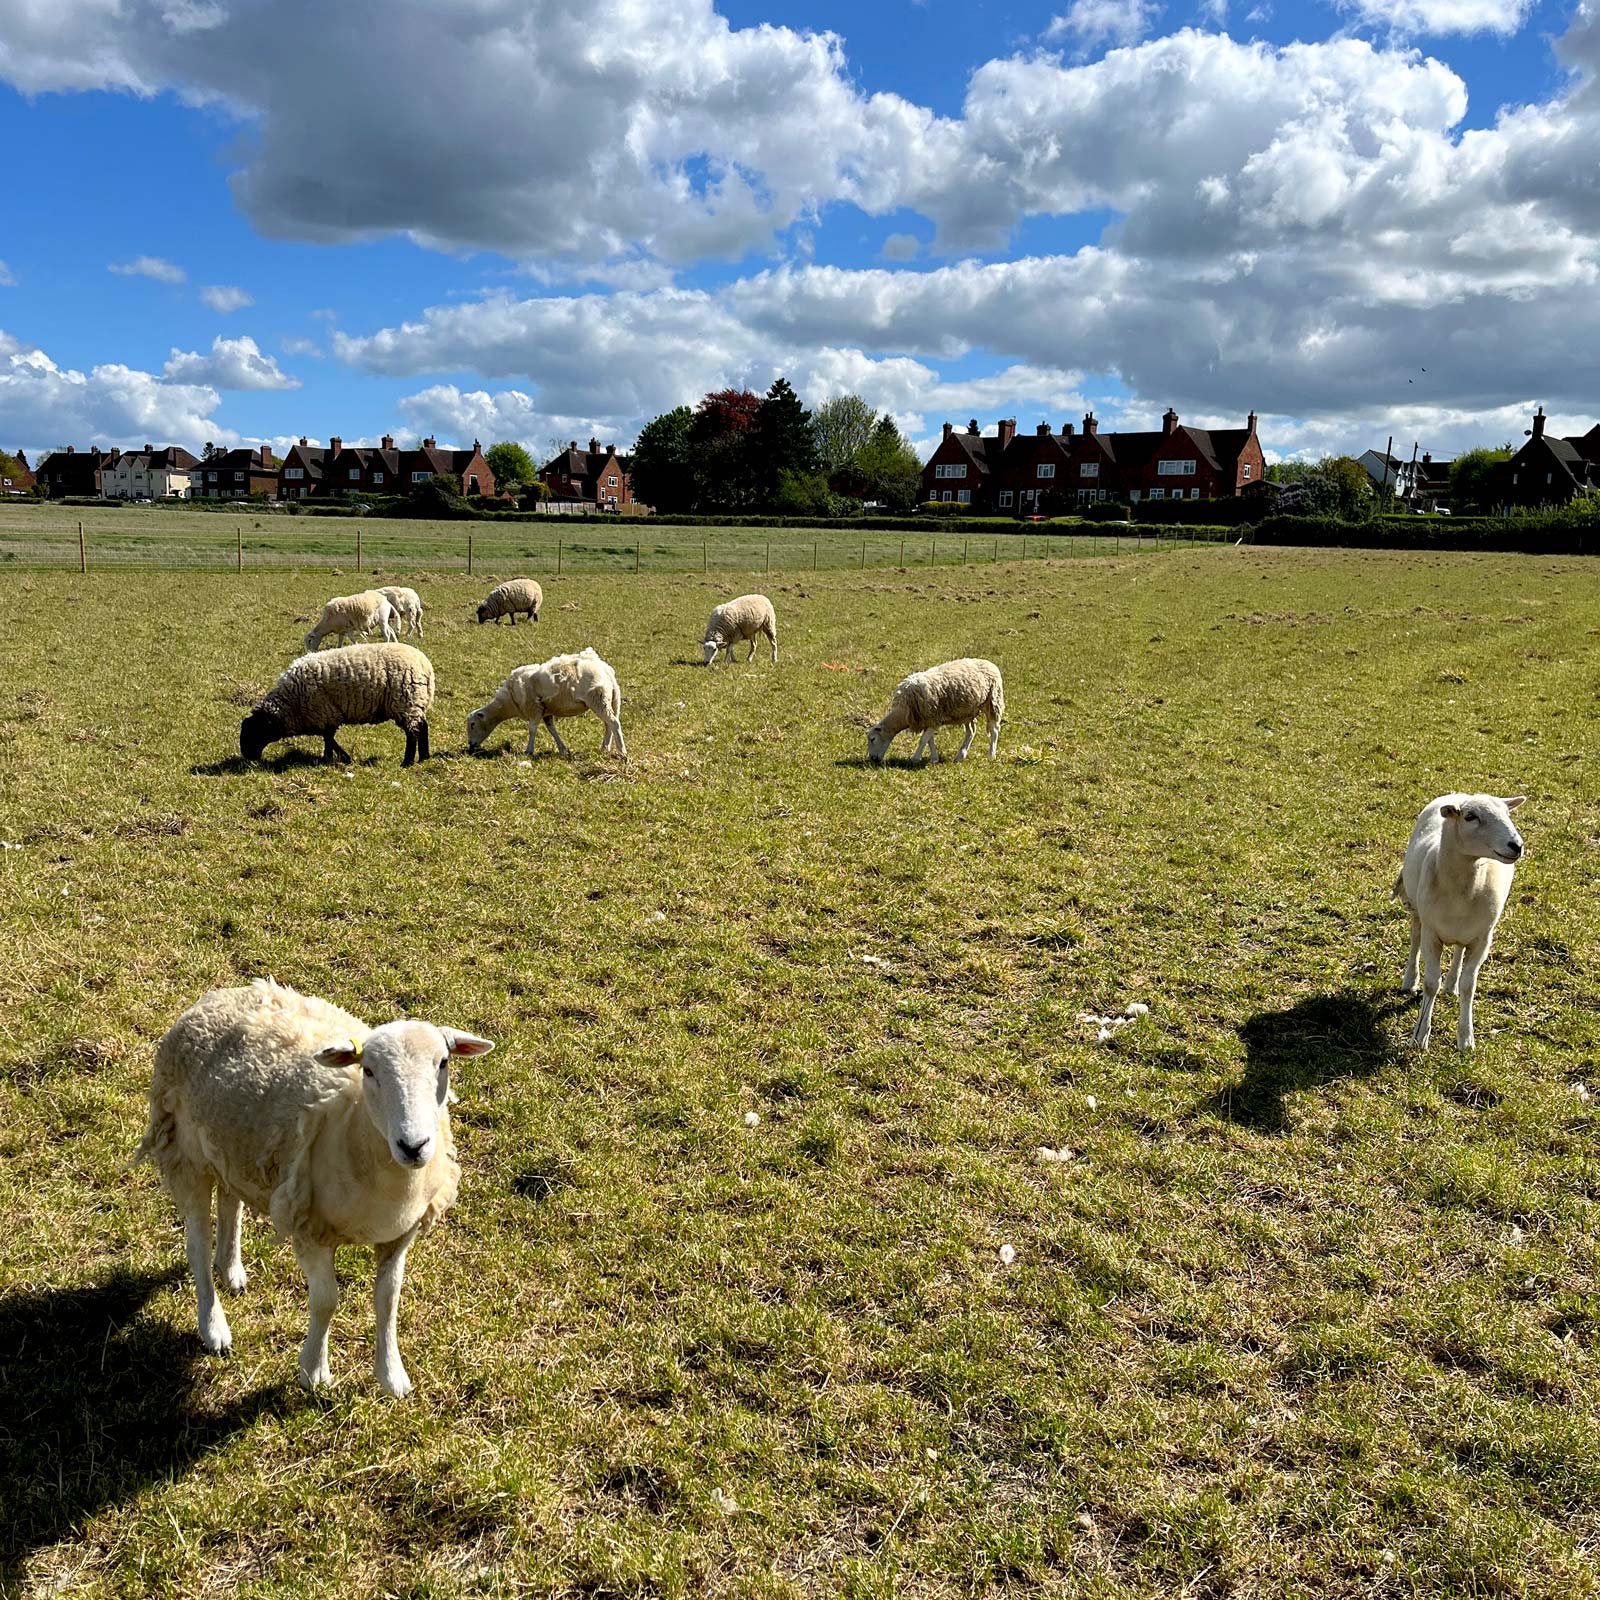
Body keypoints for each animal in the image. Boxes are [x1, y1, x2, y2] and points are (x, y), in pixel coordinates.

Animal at [132, 978, 494, 1397]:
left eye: (443, 1063)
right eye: (368, 1070)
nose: (413, 1145)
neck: (356, 1127)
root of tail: (219, 996)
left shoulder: (399, 1235)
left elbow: (388, 1300)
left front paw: (391, 1374)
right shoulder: (310, 1227)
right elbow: (326, 1302)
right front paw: (315, 1372)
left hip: (233, 1147)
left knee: (230, 1201)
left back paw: (231, 1268)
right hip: (186, 1153)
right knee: (196, 1246)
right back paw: (213, 1324)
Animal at [240, 642, 435, 767]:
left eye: (255, 731)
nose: (247, 756)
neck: (292, 704)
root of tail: (426, 666)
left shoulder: (326, 713)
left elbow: (328, 737)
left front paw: (342, 757)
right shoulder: (326, 716)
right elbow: (327, 738)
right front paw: (328, 758)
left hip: (407, 701)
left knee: (412, 732)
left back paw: (407, 762)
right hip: (416, 702)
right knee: (423, 726)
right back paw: (424, 757)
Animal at [467, 647, 624, 758]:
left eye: (473, 724)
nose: (470, 745)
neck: (509, 701)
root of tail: (604, 669)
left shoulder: (534, 708)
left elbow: (532, 729)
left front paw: (529, 750)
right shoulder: (546, 710)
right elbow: (551, 729)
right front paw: (562, 749)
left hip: (598, 697)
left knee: (613, 722)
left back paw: (622, 752)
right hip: (611, 699)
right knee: (609, 724)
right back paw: (605, 748)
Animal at [866, 658, 1004, 765]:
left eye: (872, 739)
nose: (872, 759)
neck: (904, 710)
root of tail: (989, 663)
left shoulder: (934, 717)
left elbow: (923, 739)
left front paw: (915, 758)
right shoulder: (927, 719)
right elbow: (929, 740)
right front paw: (934, 758)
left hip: (992, 701)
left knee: (995, 730)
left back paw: (991, 755)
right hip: (967, 711)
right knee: (971, 731)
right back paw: (960, 755)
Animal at [1394, 793, 1526, 1050]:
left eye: (1508, 813)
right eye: (1470, 816)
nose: (1516, 845)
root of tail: (1460, 794)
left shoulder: (1483, 939)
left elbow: (1468, 986)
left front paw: (1466, 1038)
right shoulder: (1431, 935)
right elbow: (1431, 984)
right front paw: (1420, 1035)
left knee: (1458, 951)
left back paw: (1451, 984)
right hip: (1417, 912)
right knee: (1414, 941)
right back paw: (1410, 979)